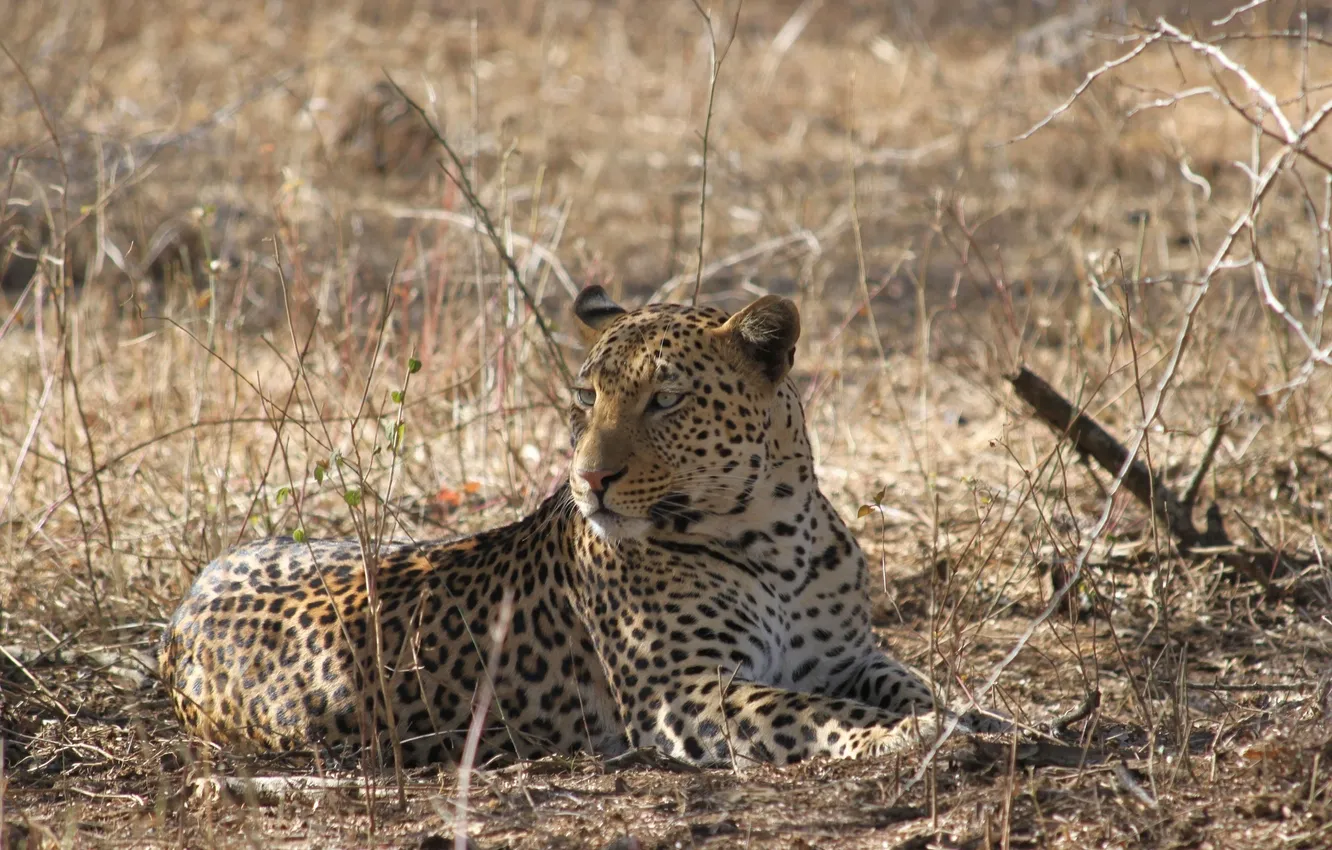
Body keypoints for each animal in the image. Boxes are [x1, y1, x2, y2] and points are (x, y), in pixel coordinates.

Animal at [160, 286, 1003, 769]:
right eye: (585, 395)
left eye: (667, 399)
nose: (589, 479)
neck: (778, 536)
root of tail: (186, 604)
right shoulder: (683, 693)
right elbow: (815, 713)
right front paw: (904, 735)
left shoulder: (845, 655)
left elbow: (912, 681)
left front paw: (977, 715)